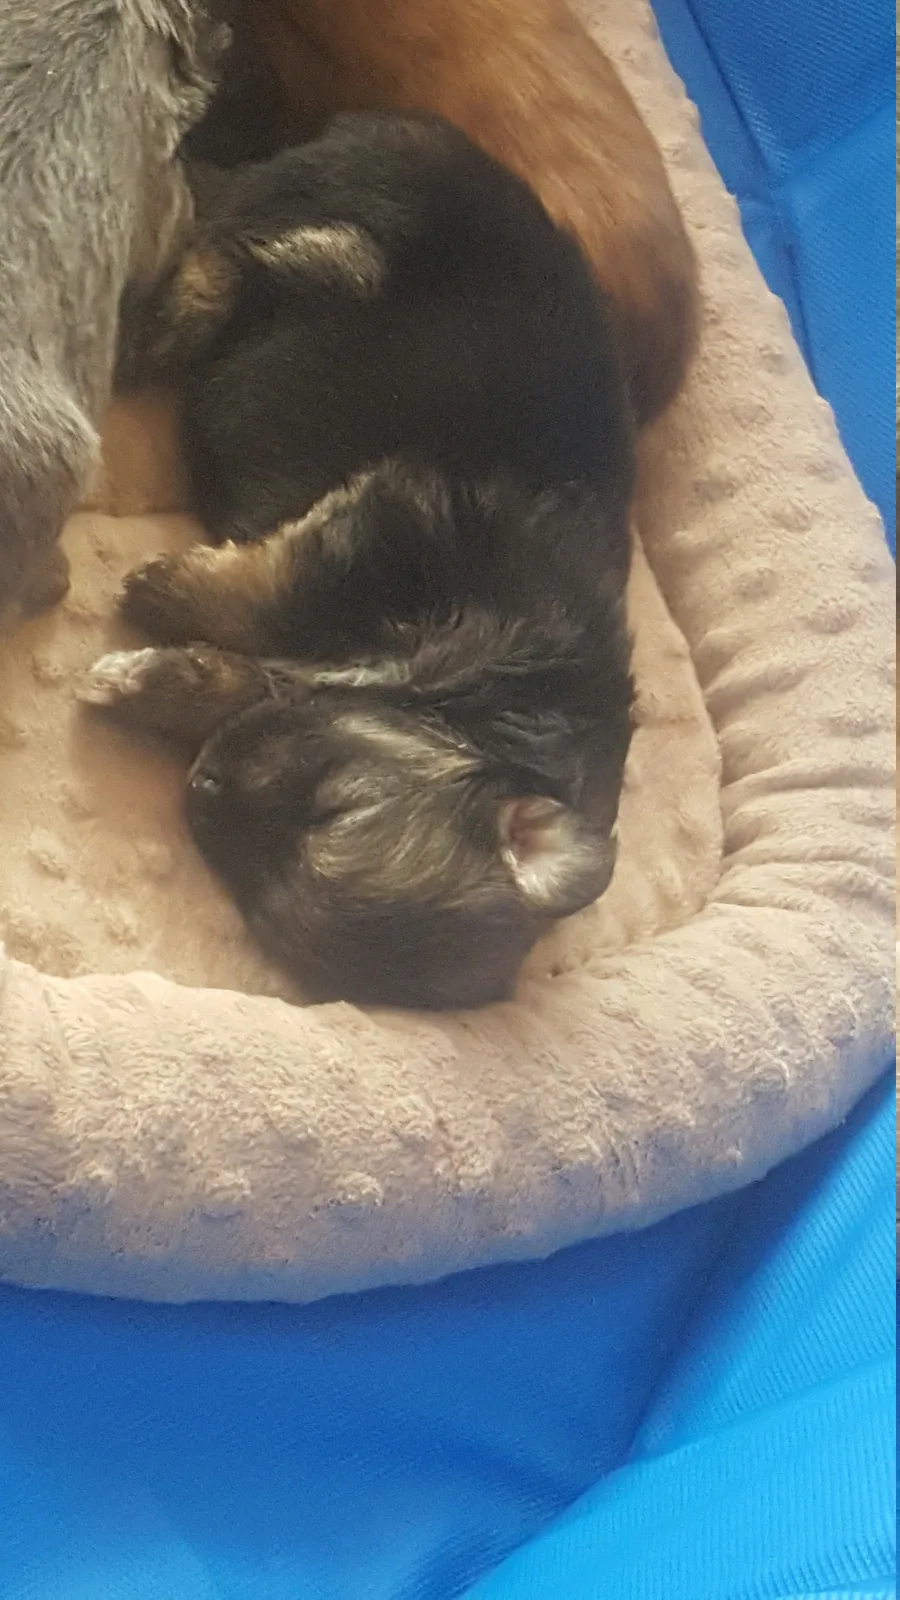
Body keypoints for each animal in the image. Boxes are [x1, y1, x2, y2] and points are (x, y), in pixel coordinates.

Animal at [83, 112, 636, 1010]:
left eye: (264, 908)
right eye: (338, 813)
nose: (201, 788)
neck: (506, 704)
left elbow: (245, 673)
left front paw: (152, 678)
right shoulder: (403, 515)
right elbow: (276, 589)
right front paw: (164, 594)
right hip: (355, 251)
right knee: (229, 248)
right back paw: (155, 332)